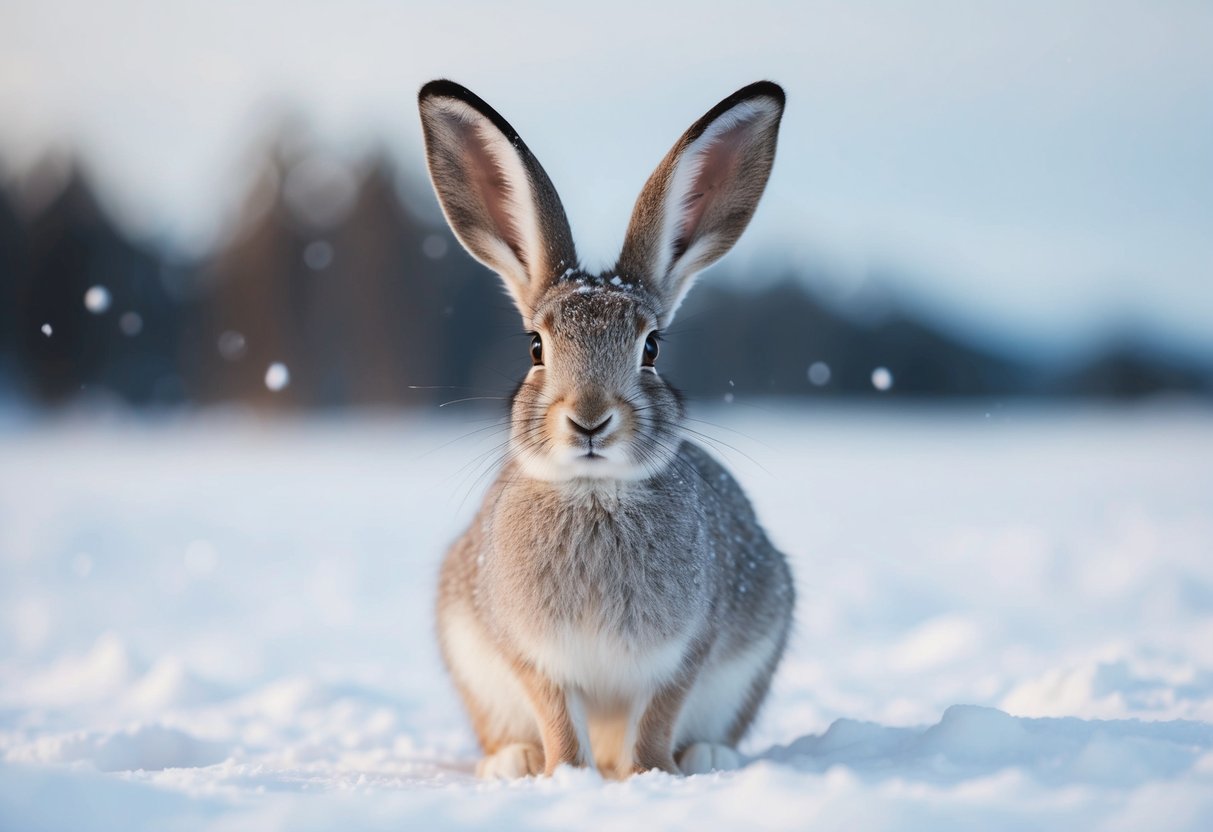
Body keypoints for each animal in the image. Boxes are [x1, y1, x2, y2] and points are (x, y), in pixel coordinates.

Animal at [418, 79, 794, 779]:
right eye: (536, 347)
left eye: (652, 348)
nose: (589, 419)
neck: (595, 493)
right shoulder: (531, 655)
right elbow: (560, 722)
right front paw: (567, 776)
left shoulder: (685, 653)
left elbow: (656, 721)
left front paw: (650, 776)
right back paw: (511, 762)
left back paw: (708, 757)